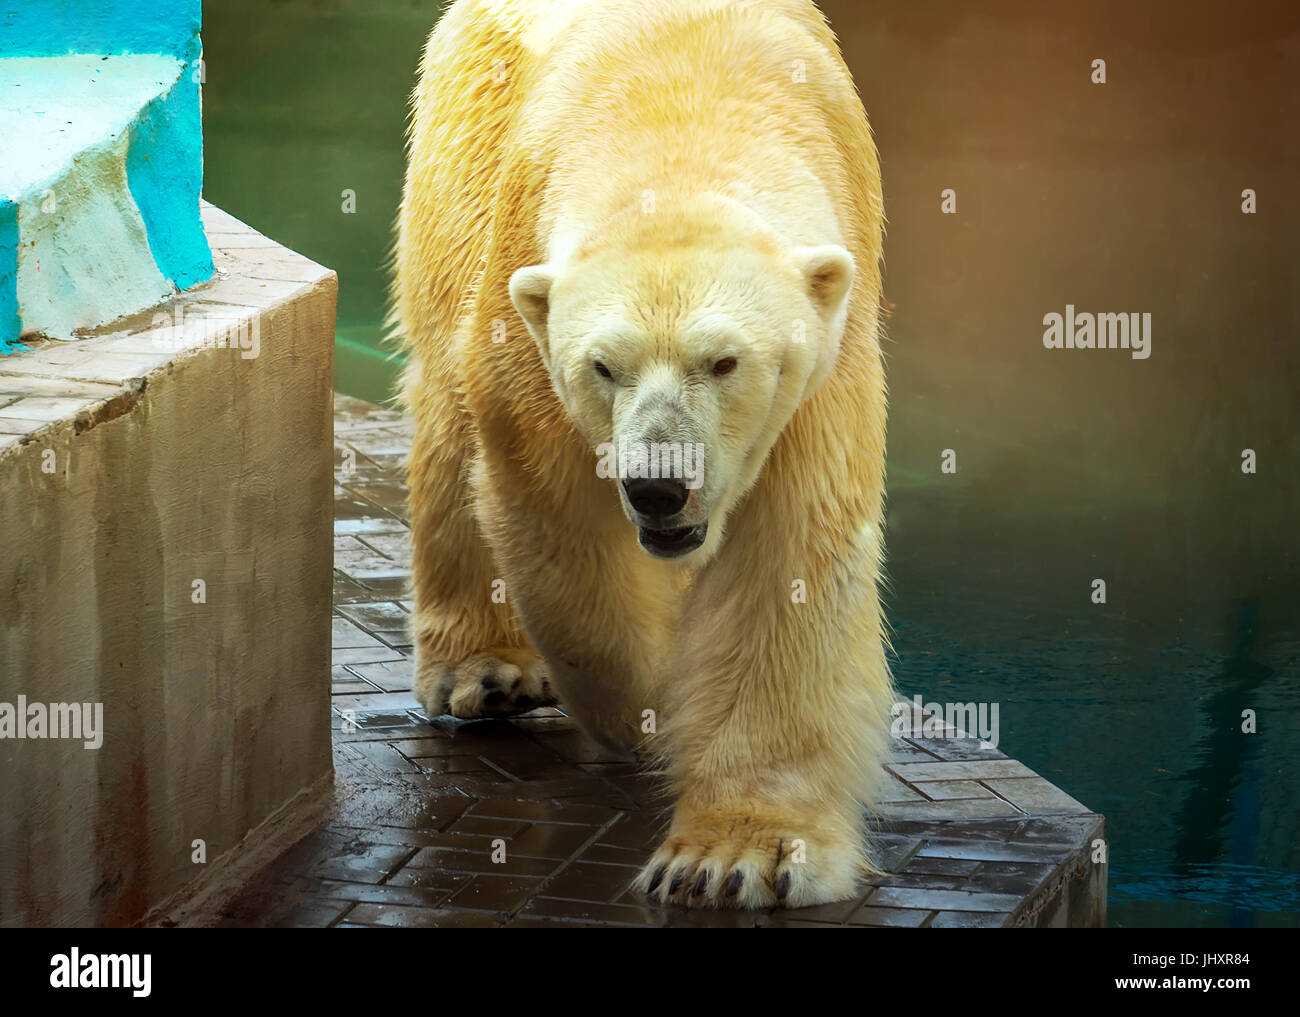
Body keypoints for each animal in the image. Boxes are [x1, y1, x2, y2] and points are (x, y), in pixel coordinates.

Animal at [393, 0, 891, 910]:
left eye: (724, 361)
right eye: (603, 364)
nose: (659, 488)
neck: (684, 120)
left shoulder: (825, 361)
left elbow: (790, 552)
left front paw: (736, 856)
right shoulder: (523, 278)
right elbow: (548, 499)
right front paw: (652, 707)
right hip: (456, 150)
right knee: (445, 403)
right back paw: (487, 669)